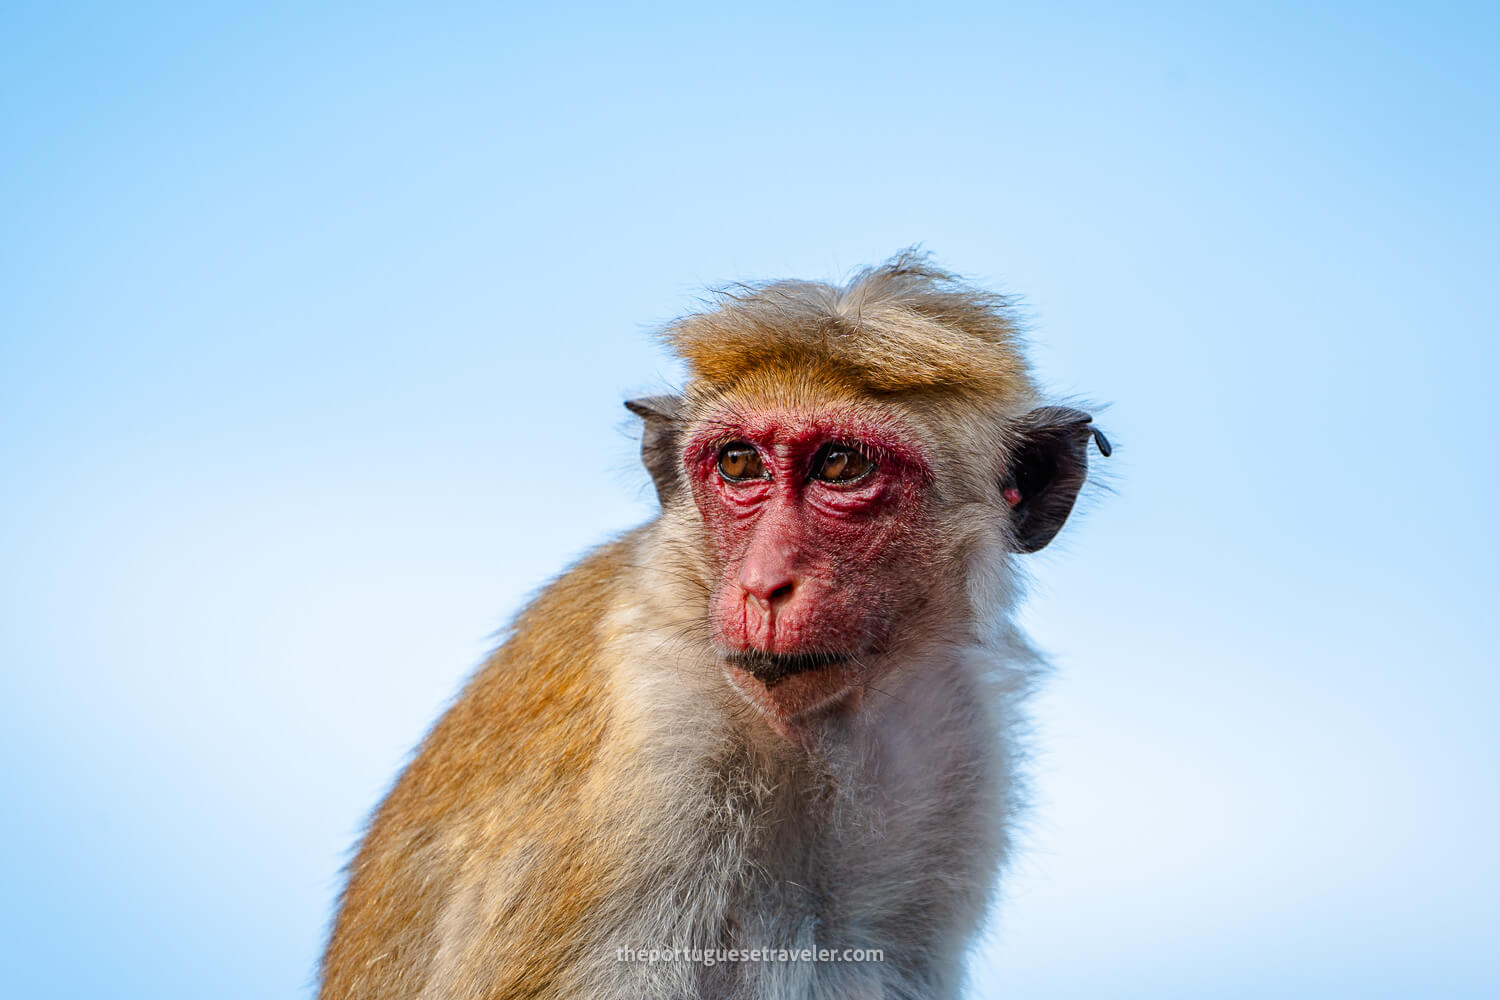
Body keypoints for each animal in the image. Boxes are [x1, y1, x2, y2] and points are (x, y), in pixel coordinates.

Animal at [319, 254, 1116, 1000]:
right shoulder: (655, 759)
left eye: (841, 465)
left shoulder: (954, 747)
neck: (813, 731)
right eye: (738, 463)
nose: (763, 585)